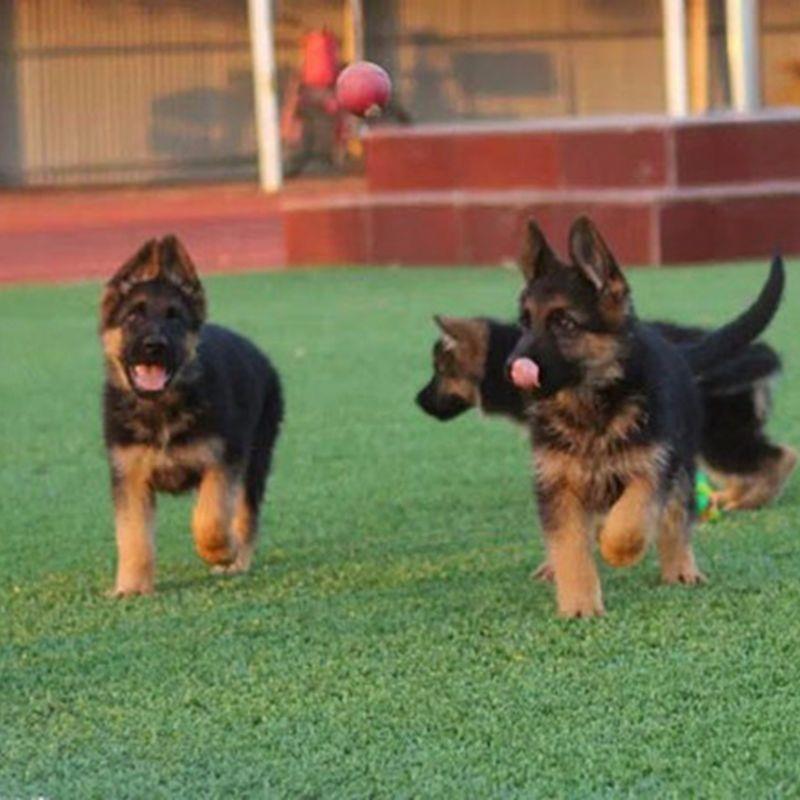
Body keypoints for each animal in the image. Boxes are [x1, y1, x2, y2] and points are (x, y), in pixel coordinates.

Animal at [99, 234, 282, 596]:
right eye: (133, 317)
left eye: (175, 318)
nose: (154, 346)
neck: (161, 408)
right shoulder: (129, 477)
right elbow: (133, 536)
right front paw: (131, 586)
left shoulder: (224, 462)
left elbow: (210, 518)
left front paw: (221, 550)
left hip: (255, 460)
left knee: (246, 516)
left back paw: (237, 560)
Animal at [416, 318, 796, 512]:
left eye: (441, 371)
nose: (418, 401)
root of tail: (759, 353)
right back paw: (733, 496)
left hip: (717, 435)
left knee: (781, 457)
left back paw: (751, 500)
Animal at [504, 216, 784, 616]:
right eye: (525, 322)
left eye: (565, 323)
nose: (511, 368)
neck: (591, 405)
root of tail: (678, 353)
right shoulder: (557, 482)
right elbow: (569, 543)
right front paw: (578, 602)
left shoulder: (652, 468)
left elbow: (630, 518)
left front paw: (617, 550)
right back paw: (552, 566)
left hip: (683, 467)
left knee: (676, 520)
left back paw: (681, 568)